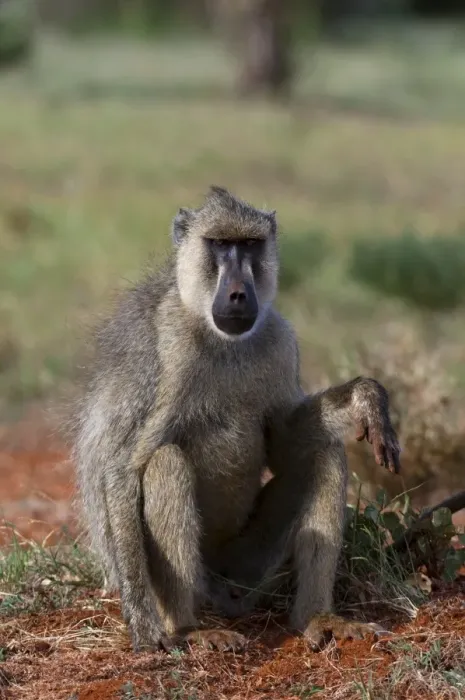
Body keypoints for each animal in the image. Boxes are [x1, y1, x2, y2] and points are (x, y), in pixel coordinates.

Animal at [73, 185, 401, 653]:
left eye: (249, 245)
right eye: (219, 245)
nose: (239, 295)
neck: (220, 339)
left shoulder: (279, 339)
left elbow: (285, 441)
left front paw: (365, 398)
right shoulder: (166, 355)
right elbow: (122, 469)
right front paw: (144, 628)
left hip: (248, 568)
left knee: (326, 454)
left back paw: (317, 617)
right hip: (200, 578)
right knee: (166, 463)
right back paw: (186, 628)